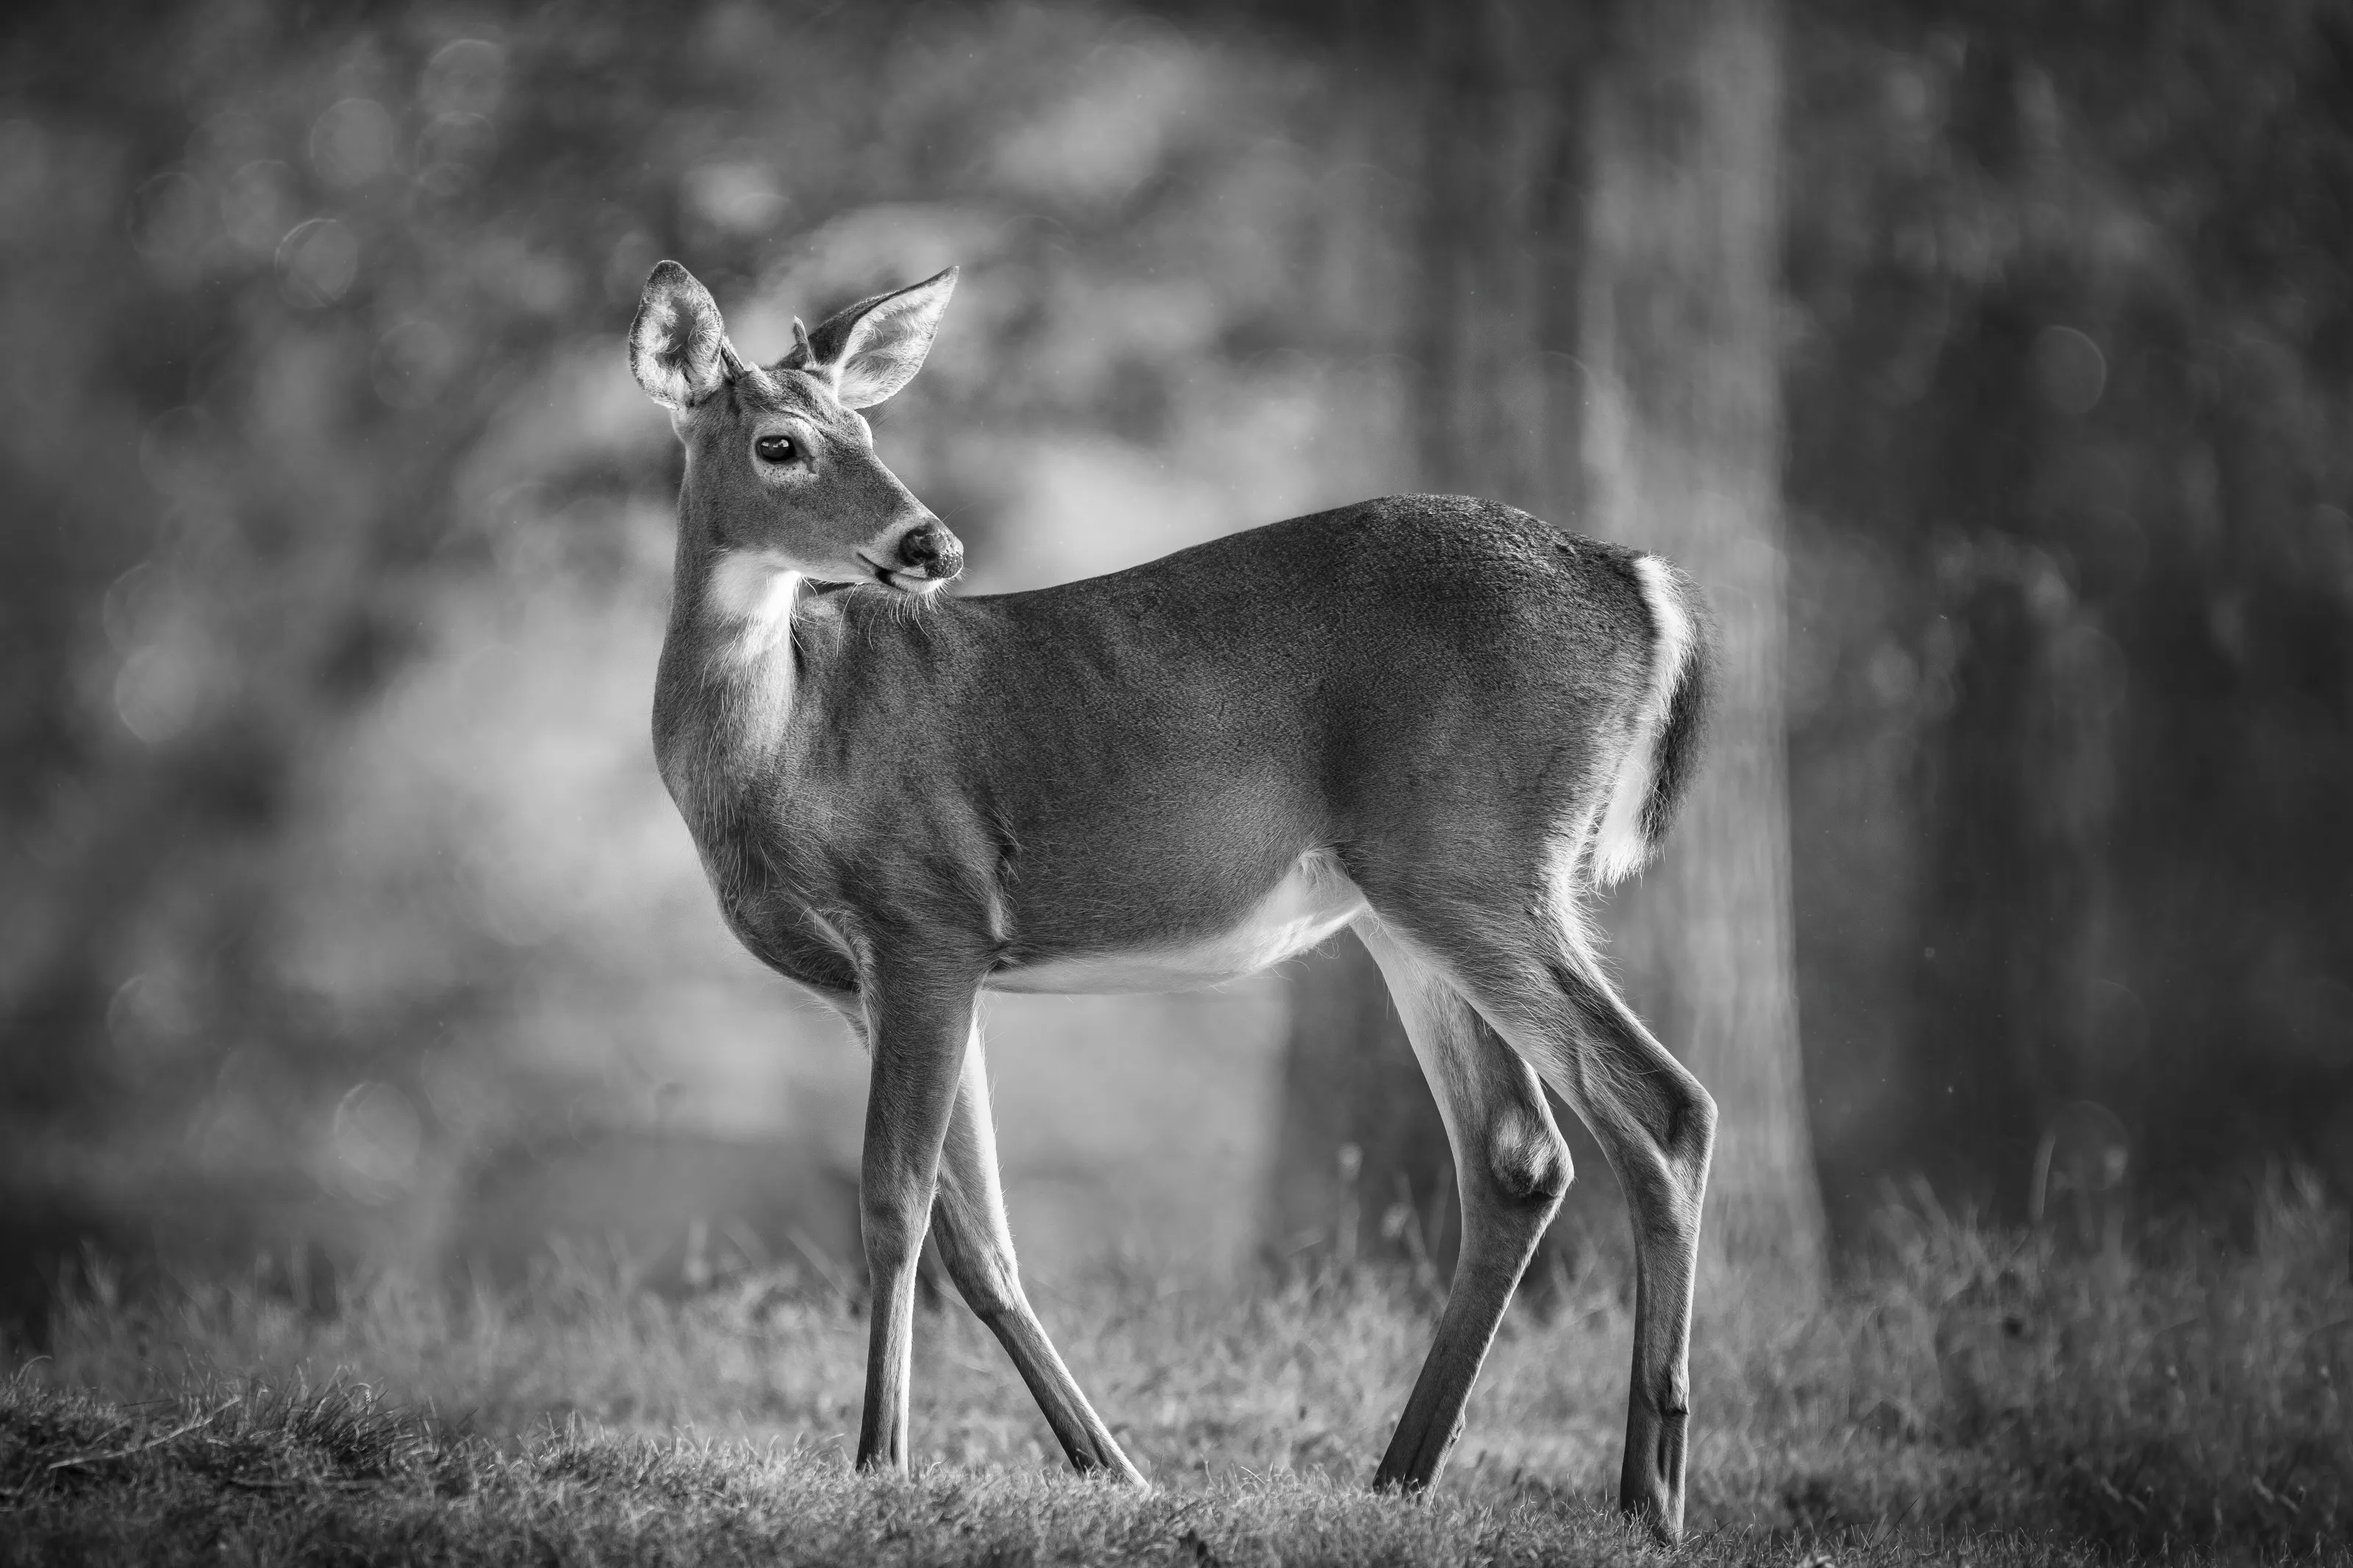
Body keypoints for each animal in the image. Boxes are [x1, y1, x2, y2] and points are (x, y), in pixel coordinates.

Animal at [626, 258, 1720, 1542]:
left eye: (868, 428)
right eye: (782, 443)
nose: (930, 542)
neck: (790, 743)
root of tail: (1633, 577)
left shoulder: (927, 919)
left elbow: (895, 1205)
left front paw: (878, 1462)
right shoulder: (879, 982)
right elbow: (978, 1237)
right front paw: (1113, 1469)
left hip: (1476, 858)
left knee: (1664, 1104)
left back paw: (1649, 1497)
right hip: (1412, 900)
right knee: (1519, 1153)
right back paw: (1400, 1479)